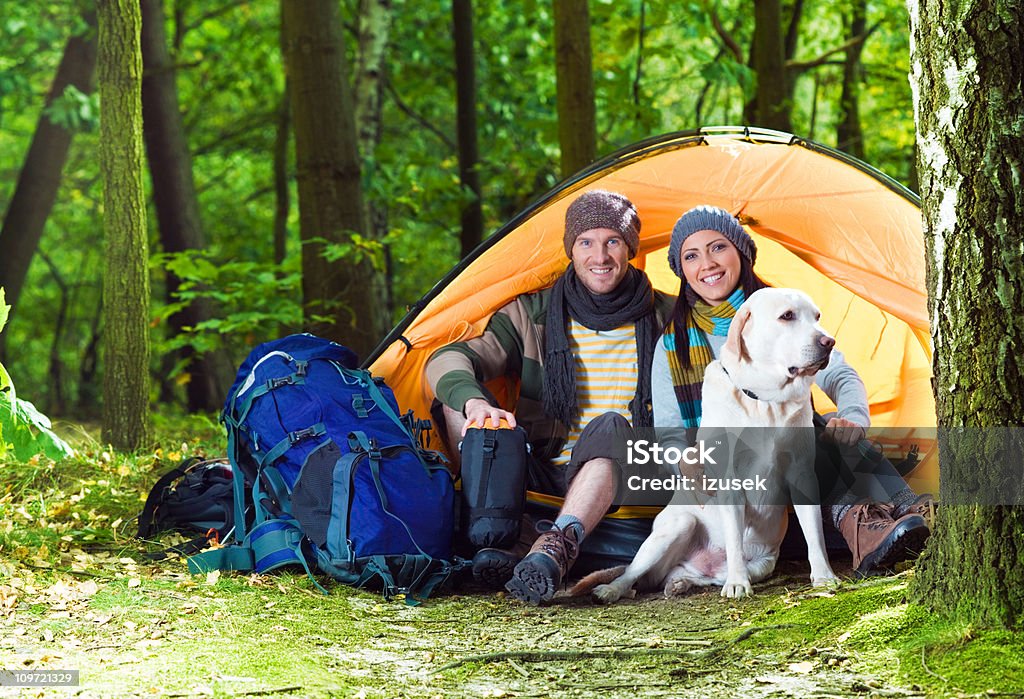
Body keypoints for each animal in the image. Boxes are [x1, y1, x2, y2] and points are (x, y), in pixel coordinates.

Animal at [577, 290, 839, 601]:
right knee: (632, 575)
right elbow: (735, 539)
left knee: (684, 576)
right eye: (787, 316)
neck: (764, 401)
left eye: (817, 316)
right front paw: (738, 584)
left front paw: (824, 577)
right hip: (678, 525)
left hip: (762, 563)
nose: (829, 342)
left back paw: (680, 583)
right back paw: (611, 589)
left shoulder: (802, 474)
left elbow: (815, 535)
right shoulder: (730, 480)